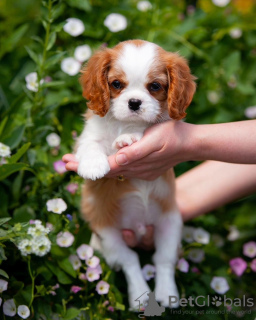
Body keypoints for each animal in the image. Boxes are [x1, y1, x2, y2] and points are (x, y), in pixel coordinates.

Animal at [75, 38, 195, 308]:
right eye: (116, 84)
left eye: (155, 86)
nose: (134, 103)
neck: (123, 123)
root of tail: (139, 229)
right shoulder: (88, 136)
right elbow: (91, 145)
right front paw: (93, 165)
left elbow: (143, 130)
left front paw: (129, 138)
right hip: (108, 235)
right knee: (130, 261)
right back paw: (141, 295)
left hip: (171, 225)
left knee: (163, 260)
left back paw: (165, 294)